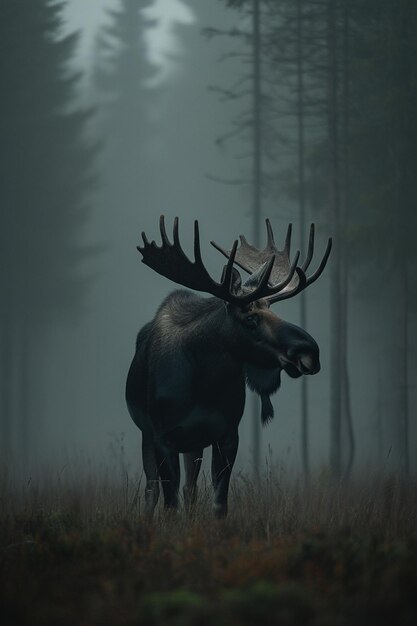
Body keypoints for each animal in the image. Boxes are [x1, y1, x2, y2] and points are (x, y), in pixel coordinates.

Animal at [126, 217, 332, 516]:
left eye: (273, 311)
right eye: (250, 317)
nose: (310, 351)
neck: (203, 387)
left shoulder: (226, 433)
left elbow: (218, 502)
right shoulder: (163, 436)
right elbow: (170, 503)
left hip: (194, 444)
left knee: (190, 488)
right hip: (148, 434)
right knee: (152, 491)